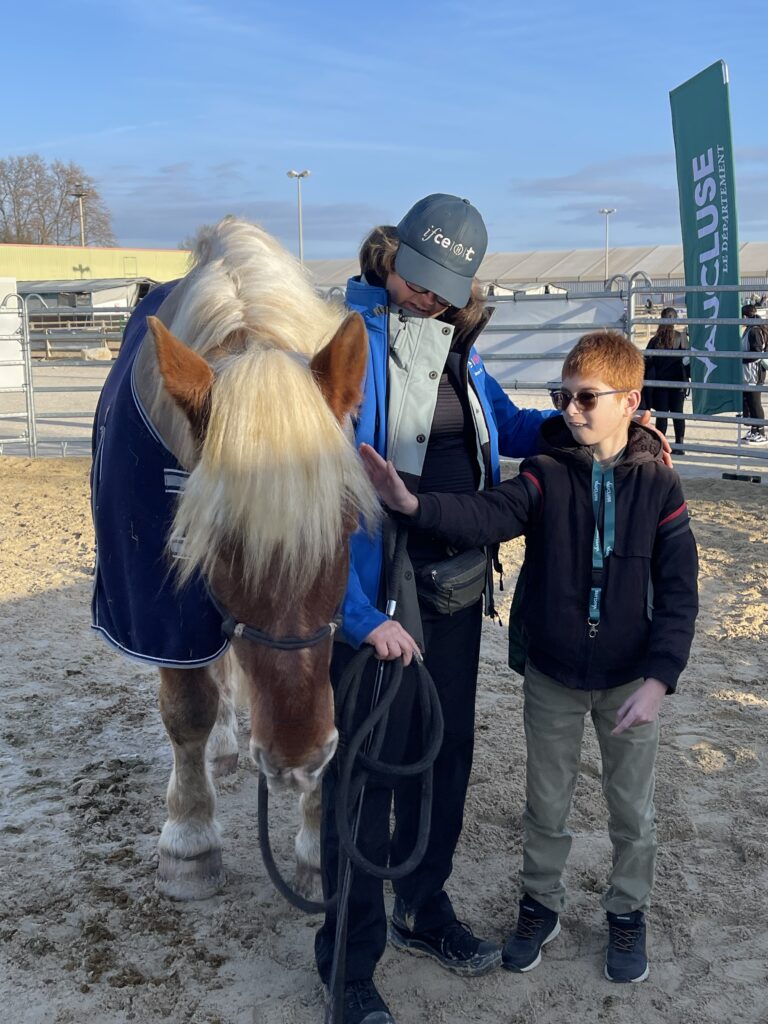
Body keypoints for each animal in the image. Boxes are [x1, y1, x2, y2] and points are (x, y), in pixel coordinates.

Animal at [90, 217, 379, 900]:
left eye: (346, 524)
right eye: (215, 540)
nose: (297, 757)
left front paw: (318, 848)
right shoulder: (159, 606)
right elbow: (187, 710)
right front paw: (190, 840)